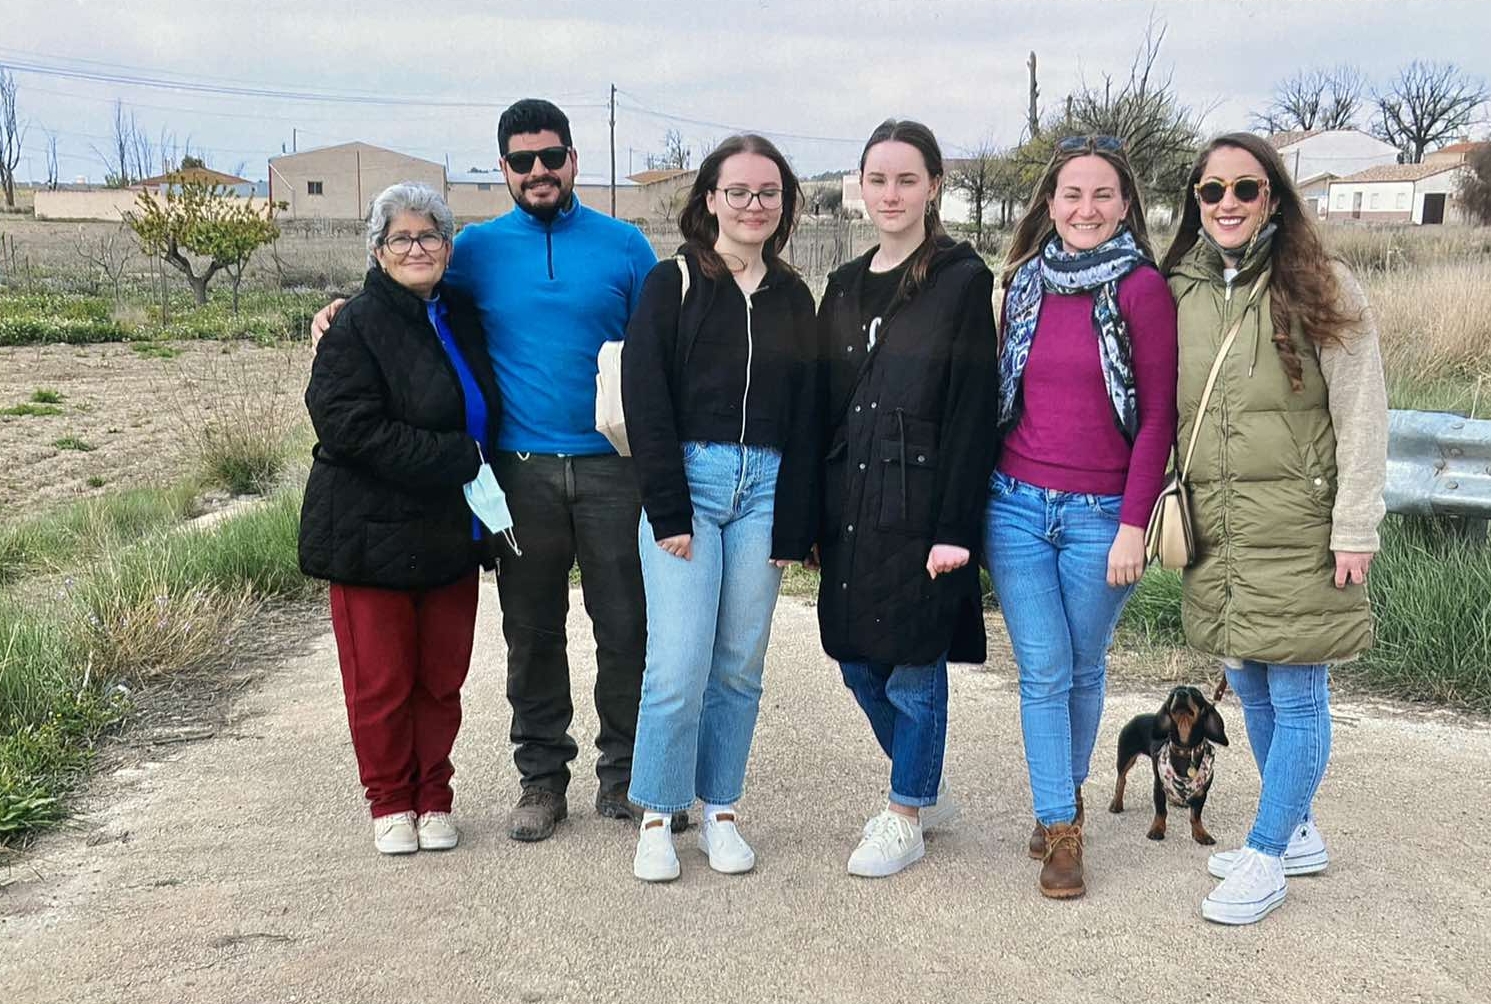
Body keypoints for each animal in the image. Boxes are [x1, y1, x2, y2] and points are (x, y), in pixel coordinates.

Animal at [1108, 685, 1228, 845]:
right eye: (1172, 693)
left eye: (1196, 693)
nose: (1181, 693)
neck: (1186, 750)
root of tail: (1136, 717)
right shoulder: (1158, 786)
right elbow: (1161, 811)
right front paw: (1157, 830)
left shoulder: (1201, 792)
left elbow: (1196, 816)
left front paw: (1201, 834)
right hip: (1125, 757)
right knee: (1121, 779)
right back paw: (1116, 803)